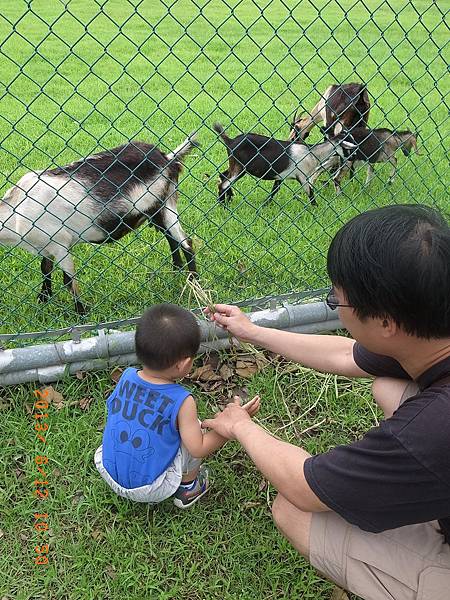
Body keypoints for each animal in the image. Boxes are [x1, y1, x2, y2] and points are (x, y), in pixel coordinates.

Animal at [0, 135, 198, 314]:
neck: (17, 209)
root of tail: (168, 158)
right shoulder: (46, 246)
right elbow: (45, 269)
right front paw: (43, 299)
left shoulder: (60, 244)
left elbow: (69, 280)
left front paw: (81, 314)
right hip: (154, 212)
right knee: (171, 239)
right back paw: (176, 270)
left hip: (166, 204)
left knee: (186, 243)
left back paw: (194, 284)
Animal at [214, 123, 356, 205]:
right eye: (349, 149)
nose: (354, 158)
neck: (312, 153)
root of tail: (230, 141)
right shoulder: (303, 176)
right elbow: (310, 193)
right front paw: (316, 208)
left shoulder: (280, 176)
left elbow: (274, 190)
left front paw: (266, 205)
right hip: (240, 167)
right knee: (224, 183)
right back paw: (222, 205)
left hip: (234, 165)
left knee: (222, 176)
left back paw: (229, 198)